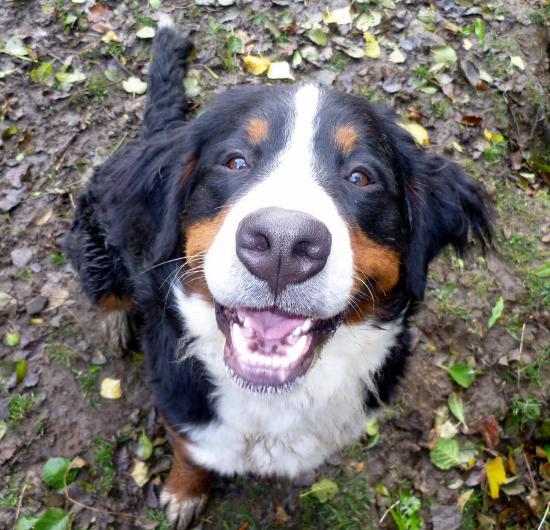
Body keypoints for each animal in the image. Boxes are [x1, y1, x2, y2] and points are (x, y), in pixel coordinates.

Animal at [66, 16, 496, 528]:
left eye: (361, 177)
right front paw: (184, 492)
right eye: (235, 161)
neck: (274, 399)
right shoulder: (182, 404)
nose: (284, 246)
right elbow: (189, 451)